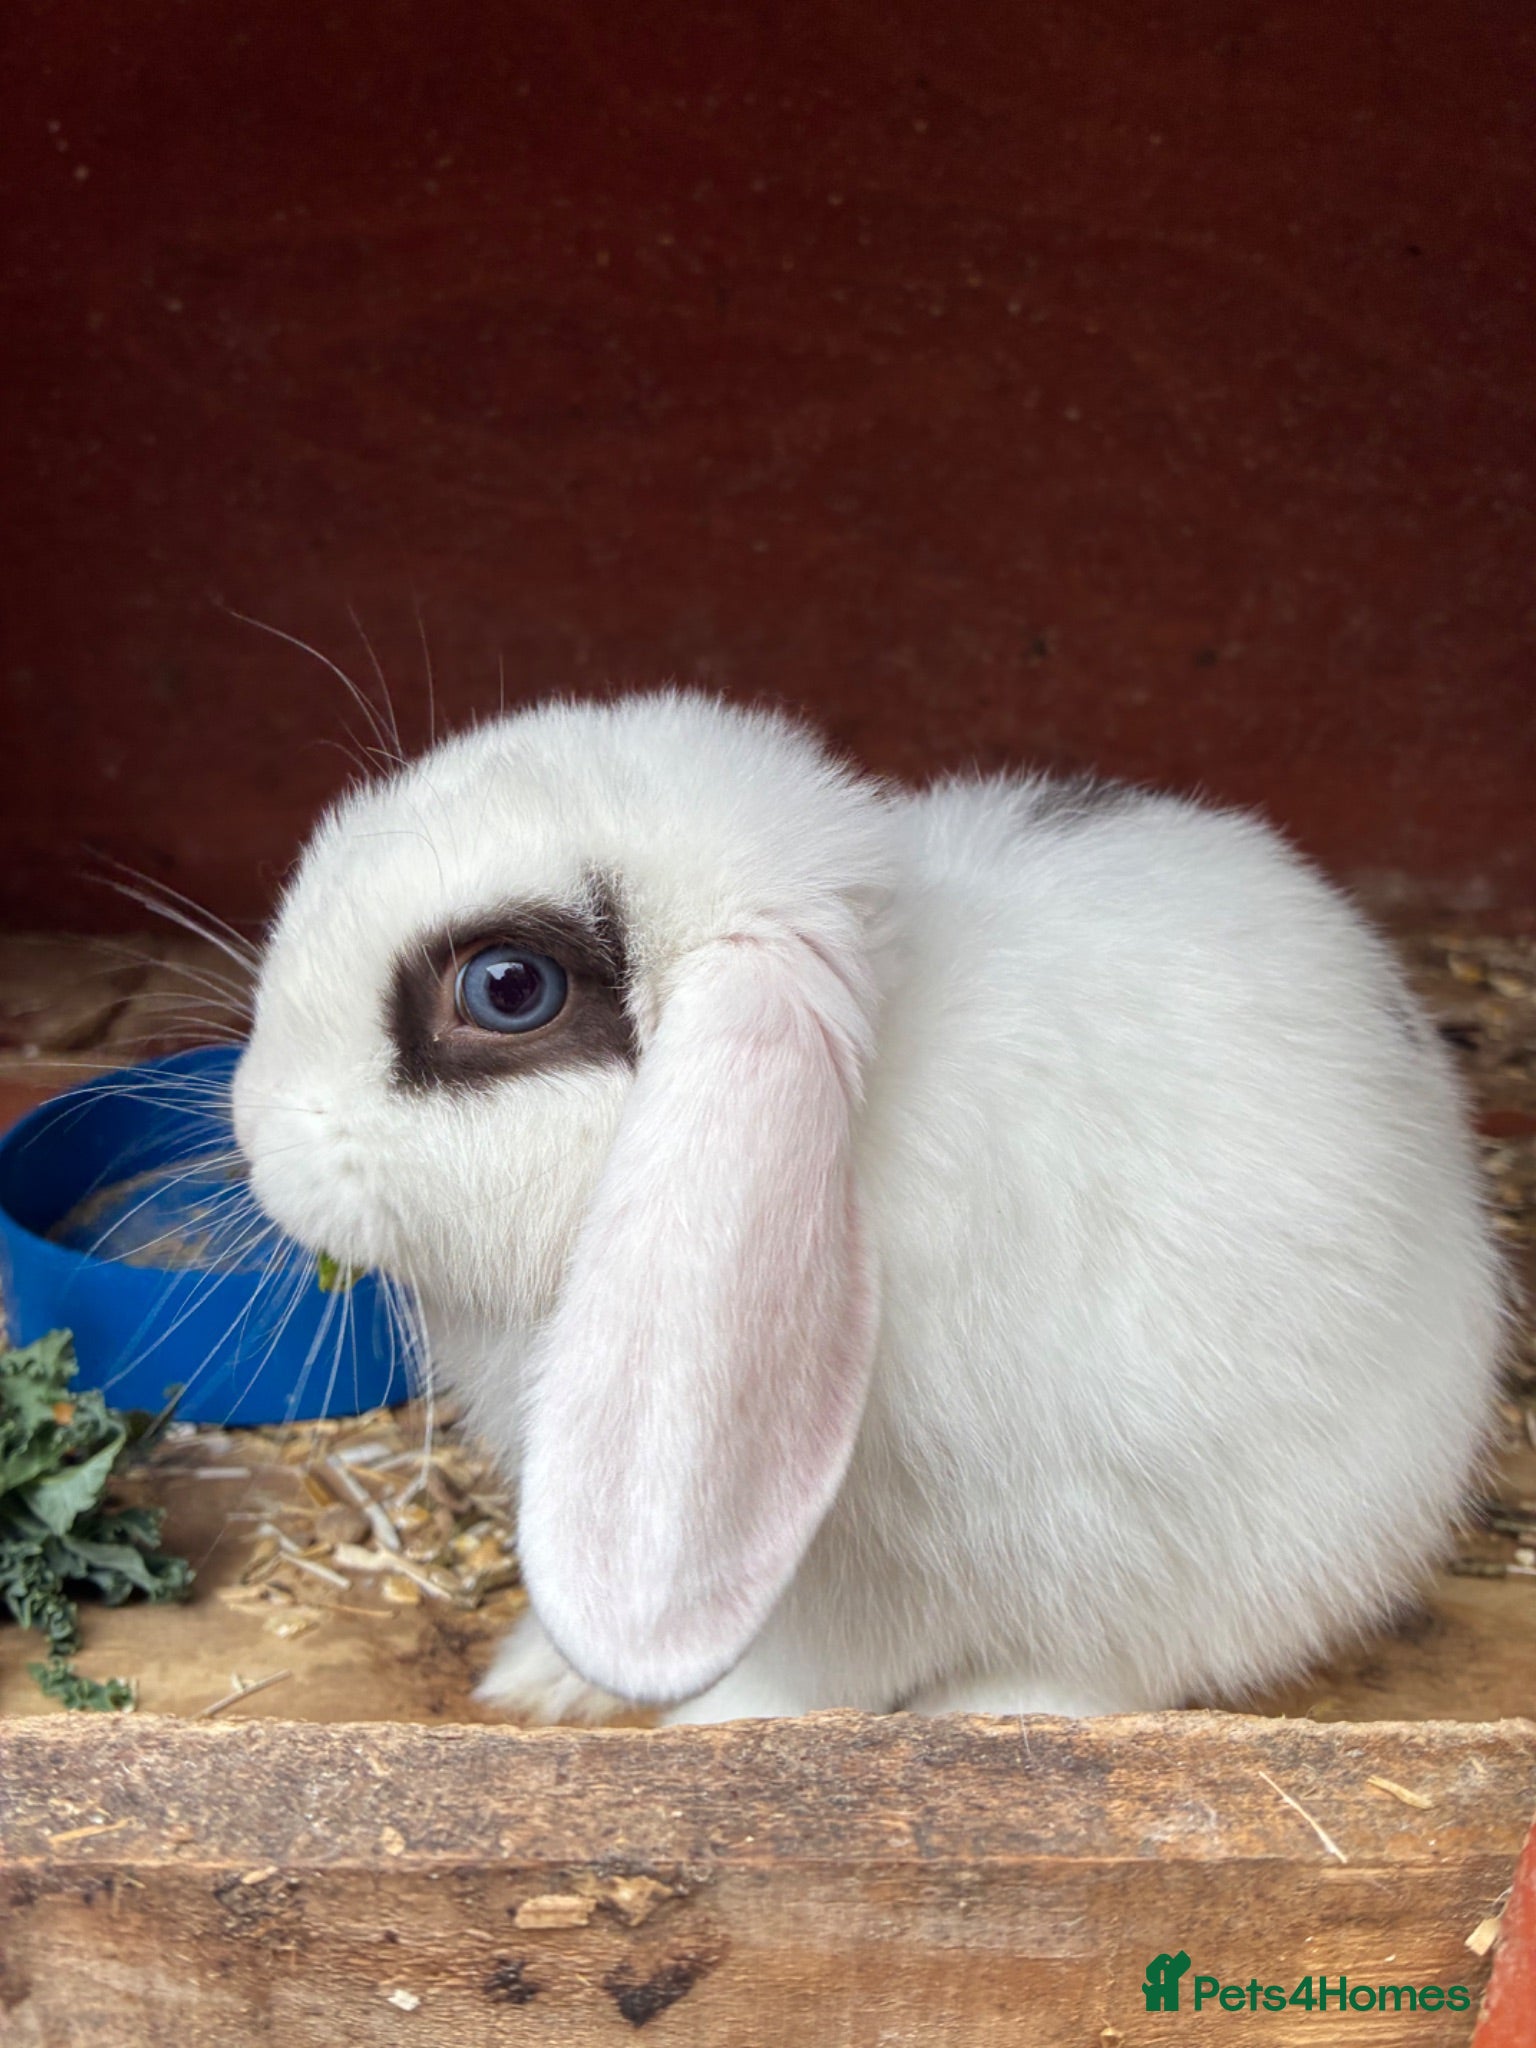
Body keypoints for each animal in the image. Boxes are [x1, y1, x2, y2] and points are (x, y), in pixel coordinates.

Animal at [232, 689, 1504, 1724]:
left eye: (507, 987)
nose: (253, 1129)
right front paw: (544, 1673)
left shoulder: (903, 1560)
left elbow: (823, 1667)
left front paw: (714, 1722)